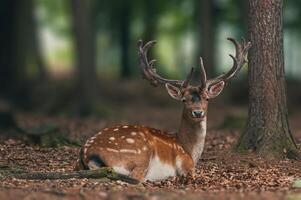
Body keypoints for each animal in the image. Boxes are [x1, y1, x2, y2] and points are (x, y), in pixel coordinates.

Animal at [75, 37, 251, 181]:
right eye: (184, 100)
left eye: (207, 98)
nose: (198, 112)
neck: (189, 150)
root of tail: (87, 152)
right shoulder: (186, 164)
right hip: (140, 155)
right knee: (135, 178)